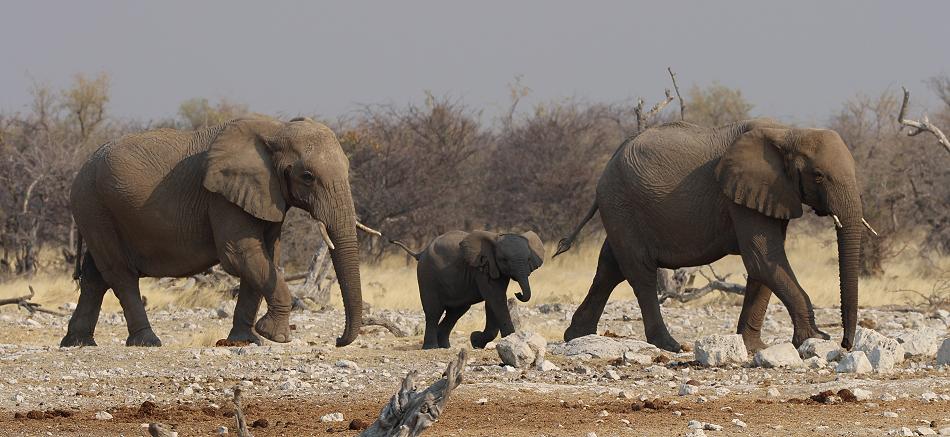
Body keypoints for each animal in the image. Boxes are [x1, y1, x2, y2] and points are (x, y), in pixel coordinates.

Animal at [61, 115, 376, 348]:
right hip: (94, 205)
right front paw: (275, 336)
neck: (276, 129)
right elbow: (240, 255)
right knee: (120, 273)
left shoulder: (266, 195)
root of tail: (82, 168)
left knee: (95, 276)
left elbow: (267, 256)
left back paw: (77, 343)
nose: (338, 341)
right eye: (307, 177)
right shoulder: (222, 197)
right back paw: (147, 342)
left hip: (97, 210)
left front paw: (246, 341)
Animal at [390, 230, 548, 350]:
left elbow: (493, 301)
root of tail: (421, 252)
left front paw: (476, 340)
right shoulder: (482, 268)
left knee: (456, 312)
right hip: (427, 275)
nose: (518, 293)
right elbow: (495, 298)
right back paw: (431, 347)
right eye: (504, 260)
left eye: (528, 259)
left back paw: (445, 346)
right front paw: (508, 340)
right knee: (433, 311)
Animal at [556, 118, 876, 350]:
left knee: (609, 267)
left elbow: (764, 265)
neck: (787, 133)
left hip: (620, 208)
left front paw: (753, 347)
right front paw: (815, 339)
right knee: (640, 272)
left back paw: (577, 336)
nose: (846, 344)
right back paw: (670, 345)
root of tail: (608, 163)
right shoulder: (742, 194)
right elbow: (763, 258)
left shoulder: (772, 194)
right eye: (818, 176)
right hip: (621, 203)